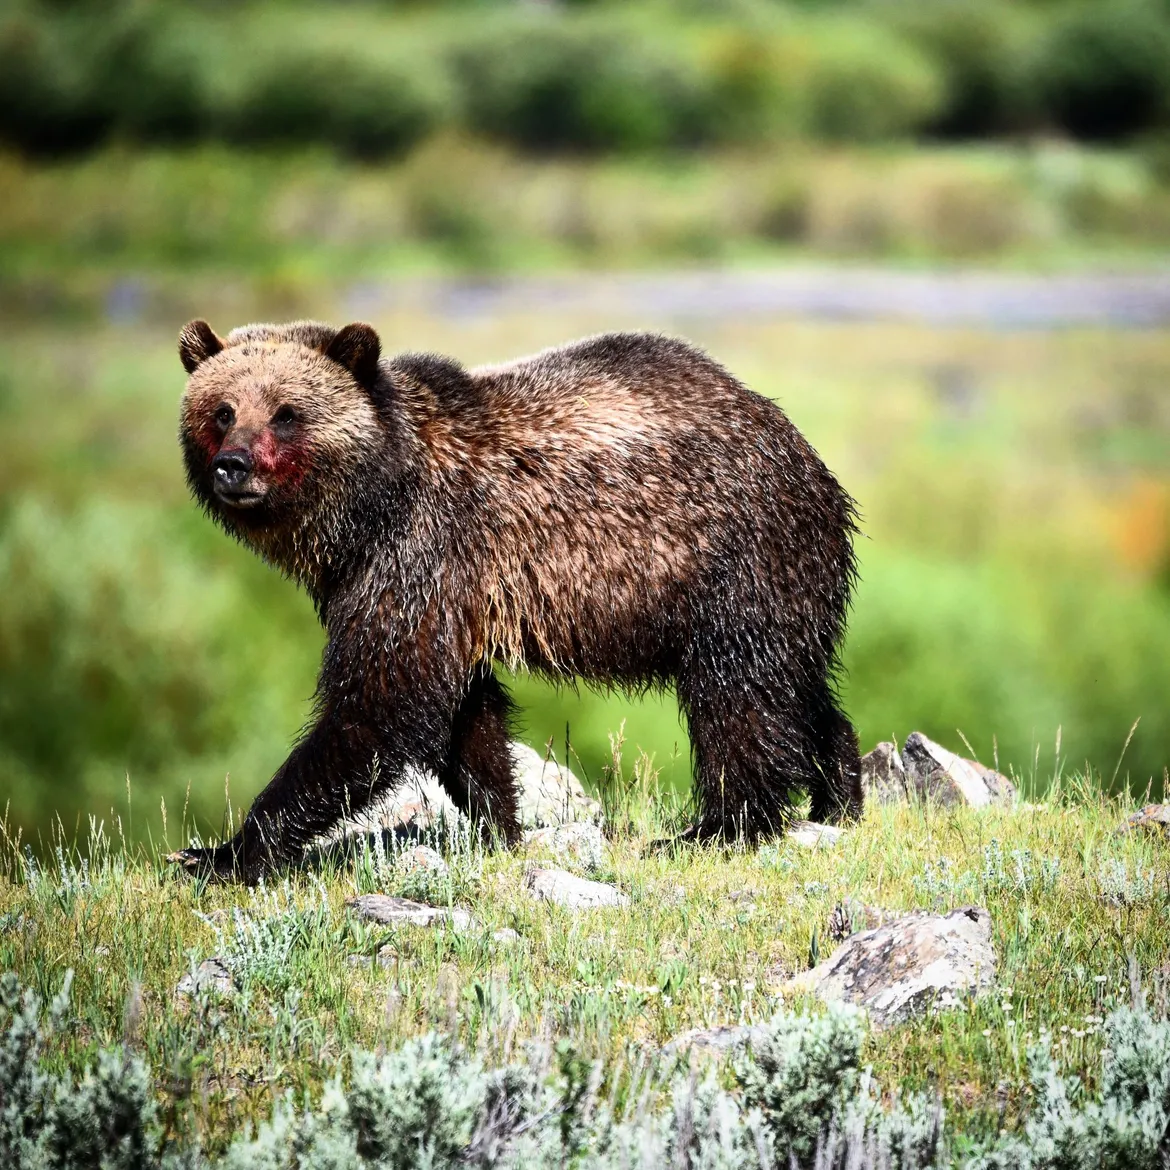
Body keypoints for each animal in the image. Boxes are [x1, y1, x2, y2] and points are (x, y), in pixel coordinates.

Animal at [170, 319, 862, 883]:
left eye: (286, 412)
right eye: (222, 410)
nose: (234, 466)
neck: (367, 510)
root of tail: (804, 451)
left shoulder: (419, 555)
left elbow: (378, 705)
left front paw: (222, 853)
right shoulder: (427, 590)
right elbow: (465, 713)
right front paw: (501, 825)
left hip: (731, 559)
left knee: (738, 696)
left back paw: (715, 827)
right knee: (793, 686)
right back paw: (839, 795)